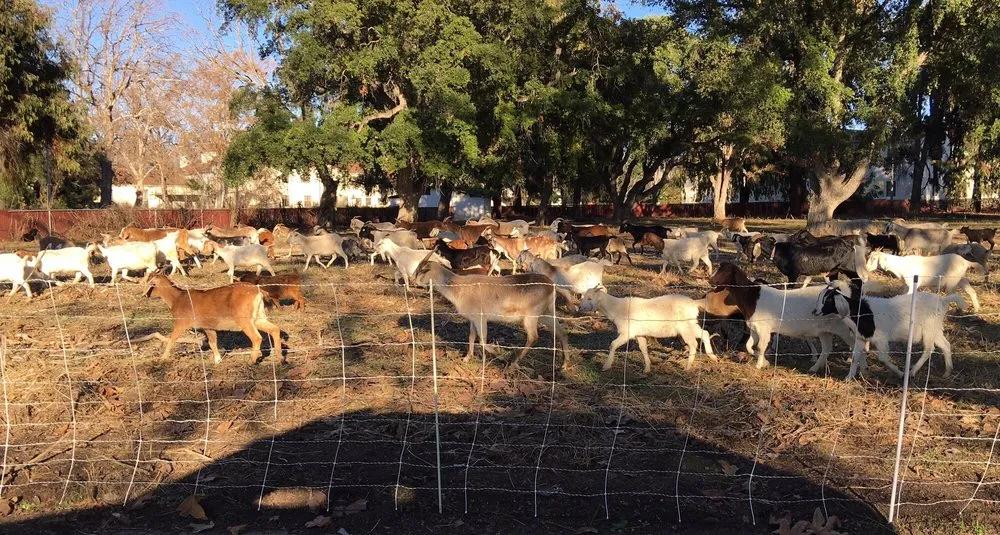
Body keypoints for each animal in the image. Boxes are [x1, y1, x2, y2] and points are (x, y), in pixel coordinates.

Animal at [145, 274, 283, 364]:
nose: (146, 294)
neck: (177, 299)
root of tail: (258, 291)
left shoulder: (180, 324)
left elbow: (171, 340)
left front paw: (163, 358)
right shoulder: (208, 327)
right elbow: (212, 342)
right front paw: (217, 359)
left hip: (244, 320)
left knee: (256, 337)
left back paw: (252, 360)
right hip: (258, 318)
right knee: (275, 329)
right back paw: (280, 358)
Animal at [413, 261, 571, 368]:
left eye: (421, 271)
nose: (413, 280)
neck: (457, 286)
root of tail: (551, 285)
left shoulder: (480, 317)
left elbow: (482, 340)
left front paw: (500, 356)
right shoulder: (473, 318)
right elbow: (471, 336)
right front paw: (467, 358)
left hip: (531, 316)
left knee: (533, 336)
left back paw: (513, 361)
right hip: (546, 314)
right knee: (561, 332)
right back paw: (563, 364)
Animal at [579, 288, 716, 373]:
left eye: (590, 298)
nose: (580, 307)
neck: (617, 308)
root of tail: (694, 303)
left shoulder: (627, 333)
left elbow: (612, 345)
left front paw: (606, 366)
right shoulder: (639, 334)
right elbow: (643, 349)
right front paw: (647, 368)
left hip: (685, 327)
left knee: (693, 343)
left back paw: (688, 367)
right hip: (691, 324)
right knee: (705, 333)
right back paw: (712, 356)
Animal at [709, 263, 860, 370]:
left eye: (724, 271)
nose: (710, 280)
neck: (752, 297)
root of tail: (844, 294)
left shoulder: (764, 329)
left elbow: (761, 347)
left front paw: (759, 365)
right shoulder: (754, 328)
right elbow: (749, 345)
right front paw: (764, 362)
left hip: (842, 328)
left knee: (854, 344)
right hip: (825, 331)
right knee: (827, 349)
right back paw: (814, 368)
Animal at [814, 281, 964, 379]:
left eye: (828, 300)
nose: (815, 311)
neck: (860, 312)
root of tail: (943, 300)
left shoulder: (881, 338)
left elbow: (882, 358)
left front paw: (899, 373)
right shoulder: (861, 338)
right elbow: (855, 357)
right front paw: (848, 378)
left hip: (928, 329)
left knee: (929, 349)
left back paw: (911, 372)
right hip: (935, 330)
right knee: (945, 345)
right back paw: (947, 372)